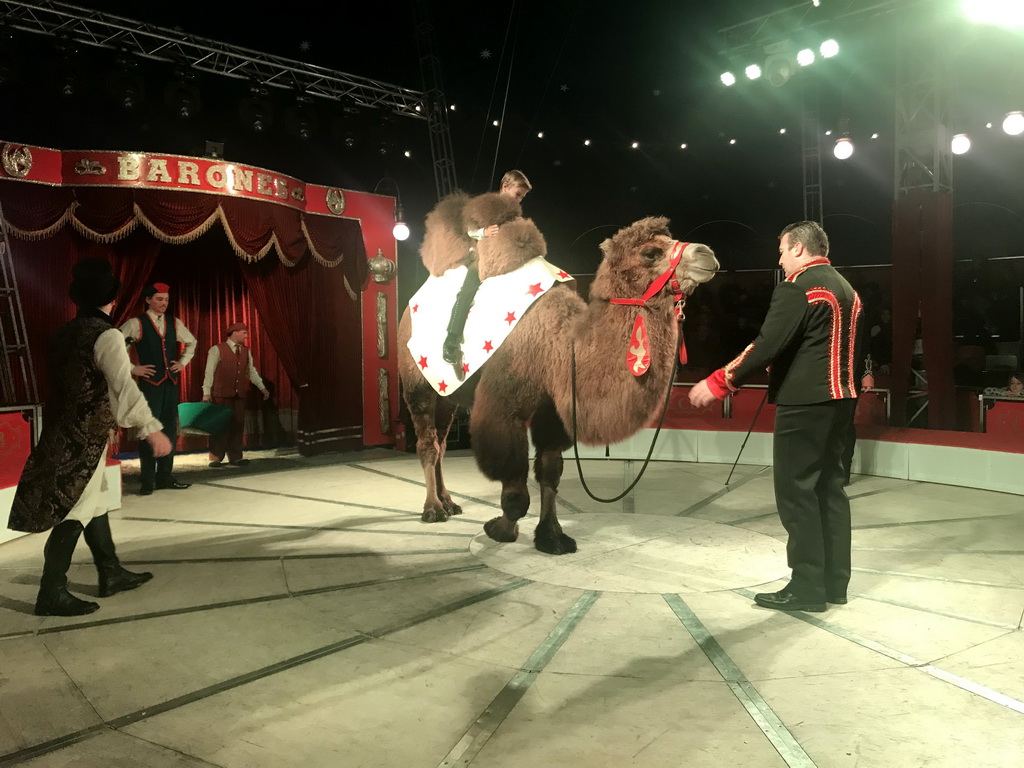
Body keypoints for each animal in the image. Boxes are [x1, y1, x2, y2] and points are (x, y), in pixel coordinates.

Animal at [395, 214, 716, 557]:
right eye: (651, 253)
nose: (707, 254)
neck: (560, 348)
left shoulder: (553, 413)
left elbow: (550, 472)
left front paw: (551, 536)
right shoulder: (505, 408)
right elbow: (515, 483)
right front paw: (501, 529)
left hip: (447, 395)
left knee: (441, 442)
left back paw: (448, 502)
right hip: (417, 384)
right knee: (427, 443)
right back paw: (432, 509)